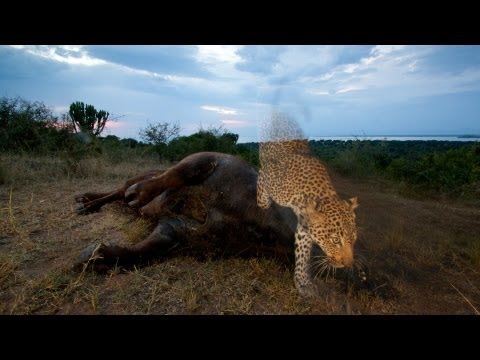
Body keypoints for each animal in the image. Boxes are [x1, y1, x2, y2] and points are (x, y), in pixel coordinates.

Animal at [256, 111, 358, 296]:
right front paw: (265, 208)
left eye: (354, 239)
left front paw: (302, 282)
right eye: (335, 240)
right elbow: (263, 200)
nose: (347, 264)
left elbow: (303, 253)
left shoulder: (305, 227)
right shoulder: (265, 174)